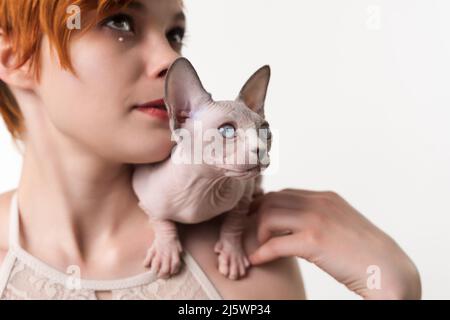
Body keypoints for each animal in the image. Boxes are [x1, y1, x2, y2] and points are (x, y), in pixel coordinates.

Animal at [130, 57, 270, 280]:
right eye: (227, 130)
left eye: (265, 130)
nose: (260, 148)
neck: (206, 187)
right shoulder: (144, 196)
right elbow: (160, 219)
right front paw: (166, 251)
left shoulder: (243, 193)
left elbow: (236, 219)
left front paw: (232, 253)